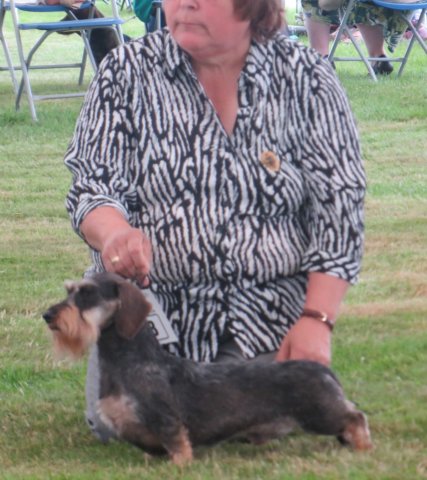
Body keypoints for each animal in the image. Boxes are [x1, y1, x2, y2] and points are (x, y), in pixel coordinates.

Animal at [42, 273, 372, 465]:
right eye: (69, 291)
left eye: (87, 294)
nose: (47, 314)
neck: (131, 361)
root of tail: (321, 370)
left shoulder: (166, 419)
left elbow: (177, 443)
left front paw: (180, 464)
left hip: (319, 413)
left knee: (355, 416)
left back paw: (363, 446)